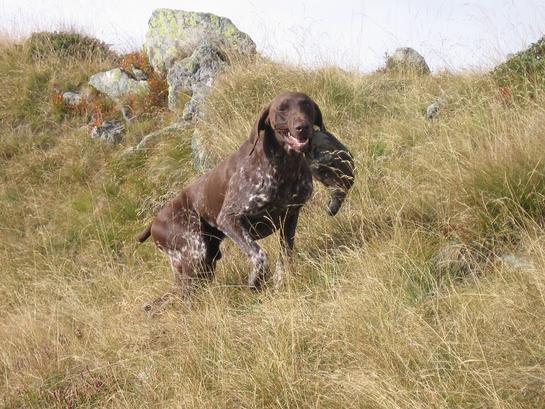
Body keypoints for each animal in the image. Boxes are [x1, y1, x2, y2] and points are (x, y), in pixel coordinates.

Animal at [137, 91, 325, 301]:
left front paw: (279, 282)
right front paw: (254, 282)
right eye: (282, 108)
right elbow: (260, 256)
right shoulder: (229, 219)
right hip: (195, 254)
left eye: (306, 105)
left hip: (206, 262)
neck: (284, 168)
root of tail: (154, 222)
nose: (302, 127)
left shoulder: (290, 217)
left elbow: (285, 256)